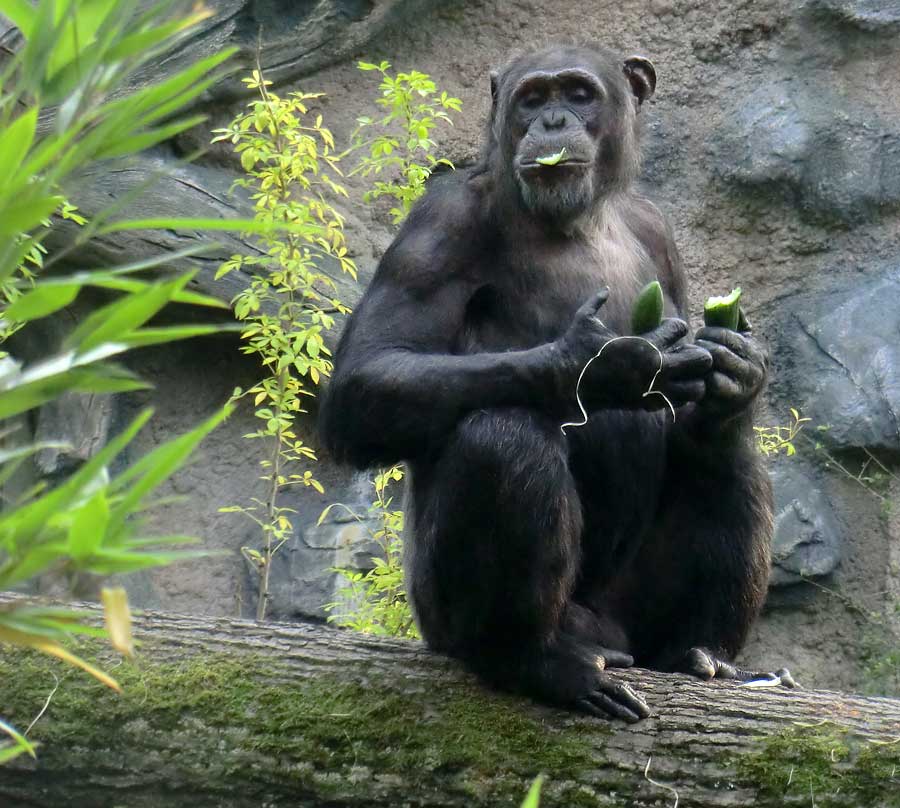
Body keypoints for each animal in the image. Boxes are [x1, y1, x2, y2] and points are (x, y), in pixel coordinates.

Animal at [322, 44, 780, 720]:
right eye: (533, 98)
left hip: (634, 623)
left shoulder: (658, 231)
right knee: (503, 435)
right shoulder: (439, 222)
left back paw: (702, 654)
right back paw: (534, 661)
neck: (581, 219)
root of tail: (607, 636)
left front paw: (738, 367)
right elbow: (369, 377)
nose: (554, 122)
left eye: (579, 94)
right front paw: (601, 361)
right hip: (445, 616)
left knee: (729, 459)